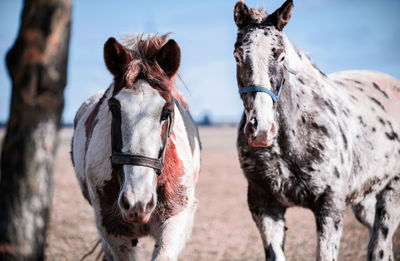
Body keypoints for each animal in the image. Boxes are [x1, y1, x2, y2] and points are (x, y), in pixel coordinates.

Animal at [233, 0, 400, 260]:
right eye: (238, 57)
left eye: (281, 56)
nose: (261, 130)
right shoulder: (265, 206)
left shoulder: (330, 207)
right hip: (364, 200)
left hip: (392, 192)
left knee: (380, 246)